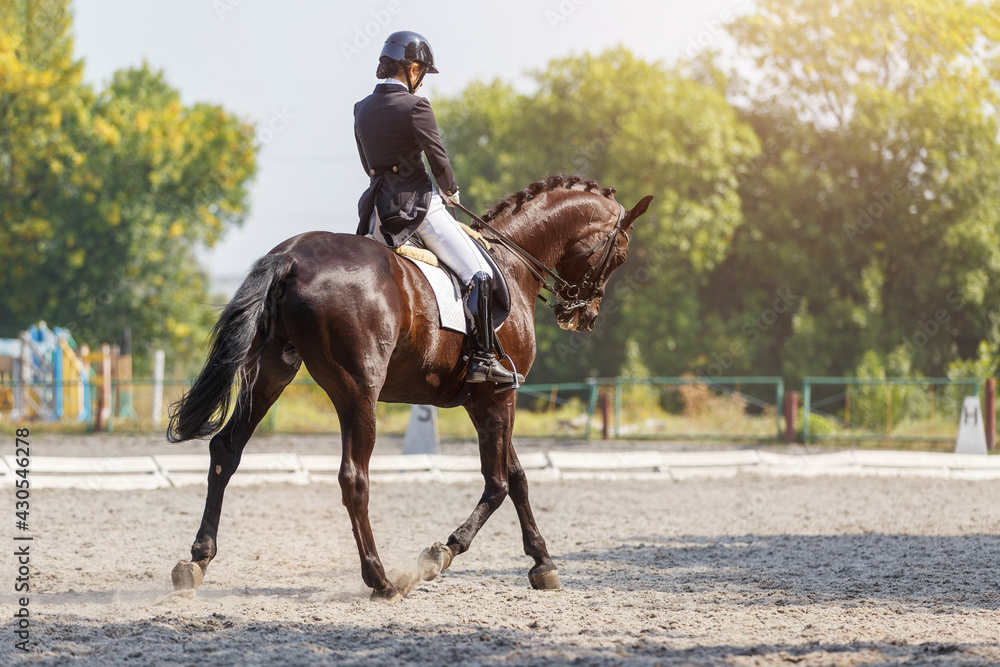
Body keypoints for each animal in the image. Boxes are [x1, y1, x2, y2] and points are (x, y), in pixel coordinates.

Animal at [167, 174, 654, 600]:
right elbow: (497, 483)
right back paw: (381, 580)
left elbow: (516, 477)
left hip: (270, 373)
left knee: (226, 451)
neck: (513, 264)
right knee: (353, 477)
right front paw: (440, 554)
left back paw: (195, 563)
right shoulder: (500, 395)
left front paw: (543, 564)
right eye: (620, 254)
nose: (583, 316)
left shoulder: (486, 399)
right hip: (358, 390)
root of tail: (293, 255)